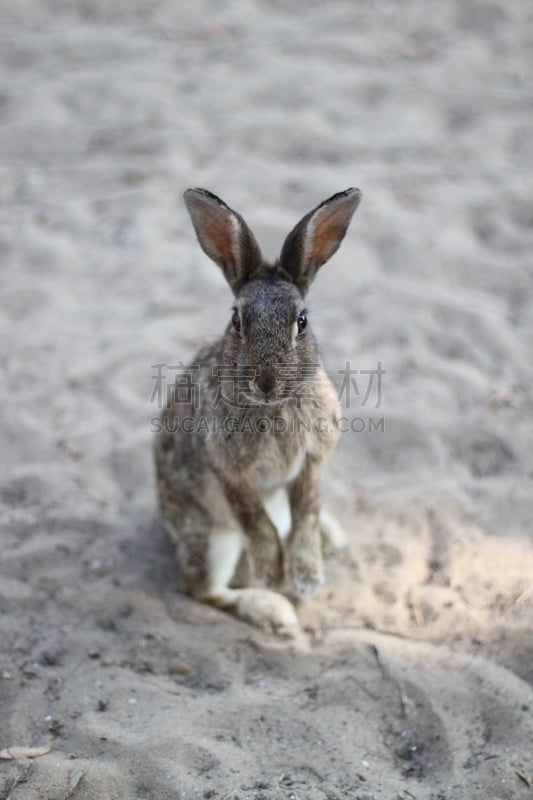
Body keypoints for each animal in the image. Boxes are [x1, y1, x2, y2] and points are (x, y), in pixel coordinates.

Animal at [154, 188, 362, 632]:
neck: (275, 405)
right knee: (202, 590)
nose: (266, 382)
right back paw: (273, 609)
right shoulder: (228, 470)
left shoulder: (312, 461)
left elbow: (307, 508)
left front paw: (306, 575)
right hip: (213, 536)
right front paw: (273, 573)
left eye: (301, 322)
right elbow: (254, 517)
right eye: (237, 320)